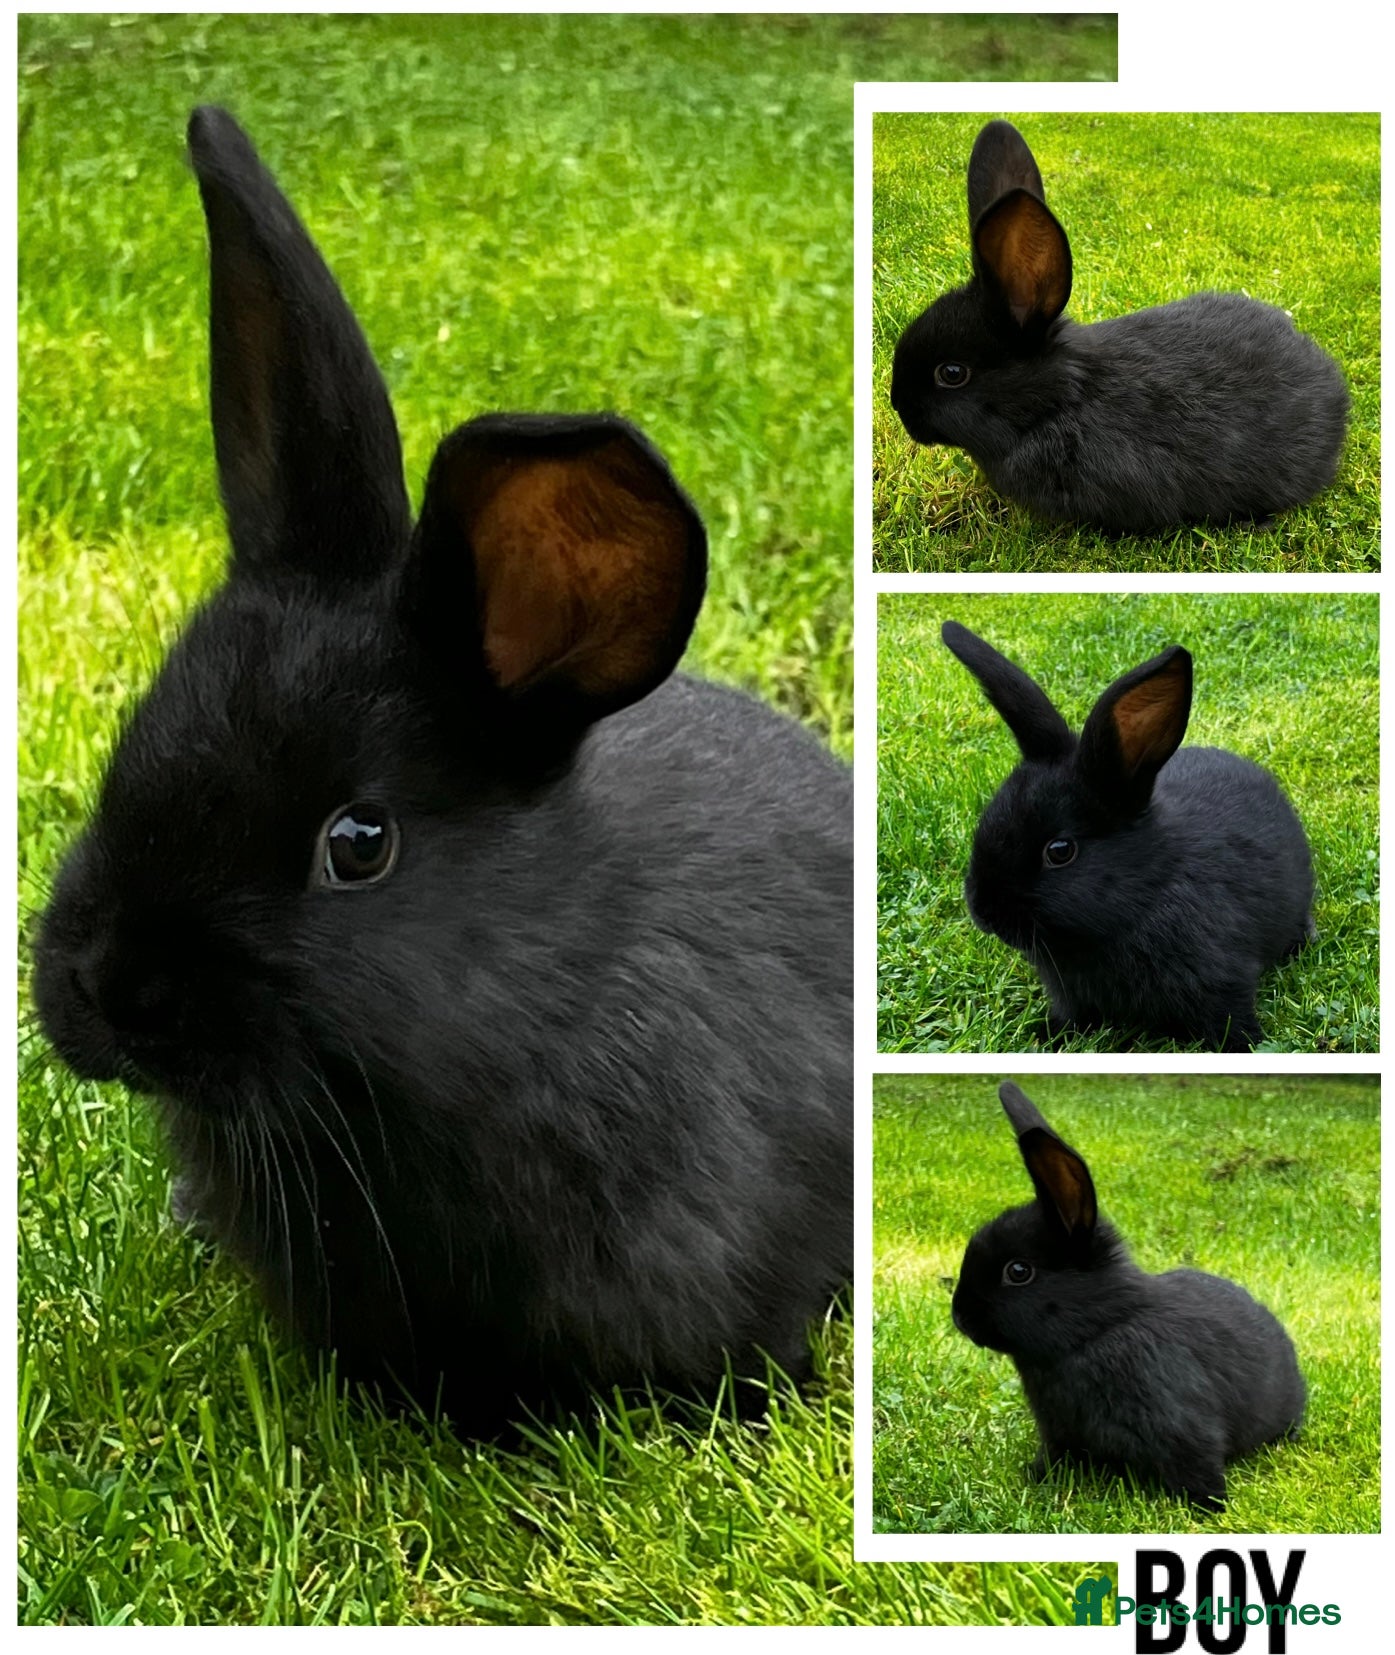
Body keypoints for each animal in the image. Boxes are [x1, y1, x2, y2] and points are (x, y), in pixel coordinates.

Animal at [940, 620, 1314, 1052]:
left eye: (1060, 851)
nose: (983, 911)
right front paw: (1047, 1033)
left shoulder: (1223, 981)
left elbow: (1229, 1020)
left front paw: (1246, 1044)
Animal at [951, 1081, 1306, 1511]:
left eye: (1018, 1271)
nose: (960, 1318)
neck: (1100, 1328)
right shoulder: (1057, 1431)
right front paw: (1036, 1475)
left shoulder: (1183, 1428)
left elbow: (1197, 1463)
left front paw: (1210, 1507)